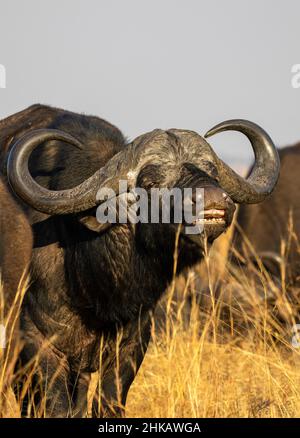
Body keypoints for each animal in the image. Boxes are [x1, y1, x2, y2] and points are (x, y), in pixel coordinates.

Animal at [1, 104, 280, 416]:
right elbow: (56, 407)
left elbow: (108, 402)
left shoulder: (132, 344)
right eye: (150, 182)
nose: (213, 200)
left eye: (211, 173)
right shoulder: (37, 346)